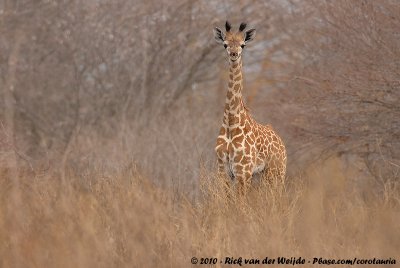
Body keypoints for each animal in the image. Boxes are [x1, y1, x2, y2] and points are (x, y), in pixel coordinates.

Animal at [214, 21, 286, 195]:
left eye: (243, 45)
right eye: (225, 44)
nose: (234, 54)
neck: (231, 122)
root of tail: (282, 144)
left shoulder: (243, 172)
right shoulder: (223, 171)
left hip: (276, 173)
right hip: (261, 175)